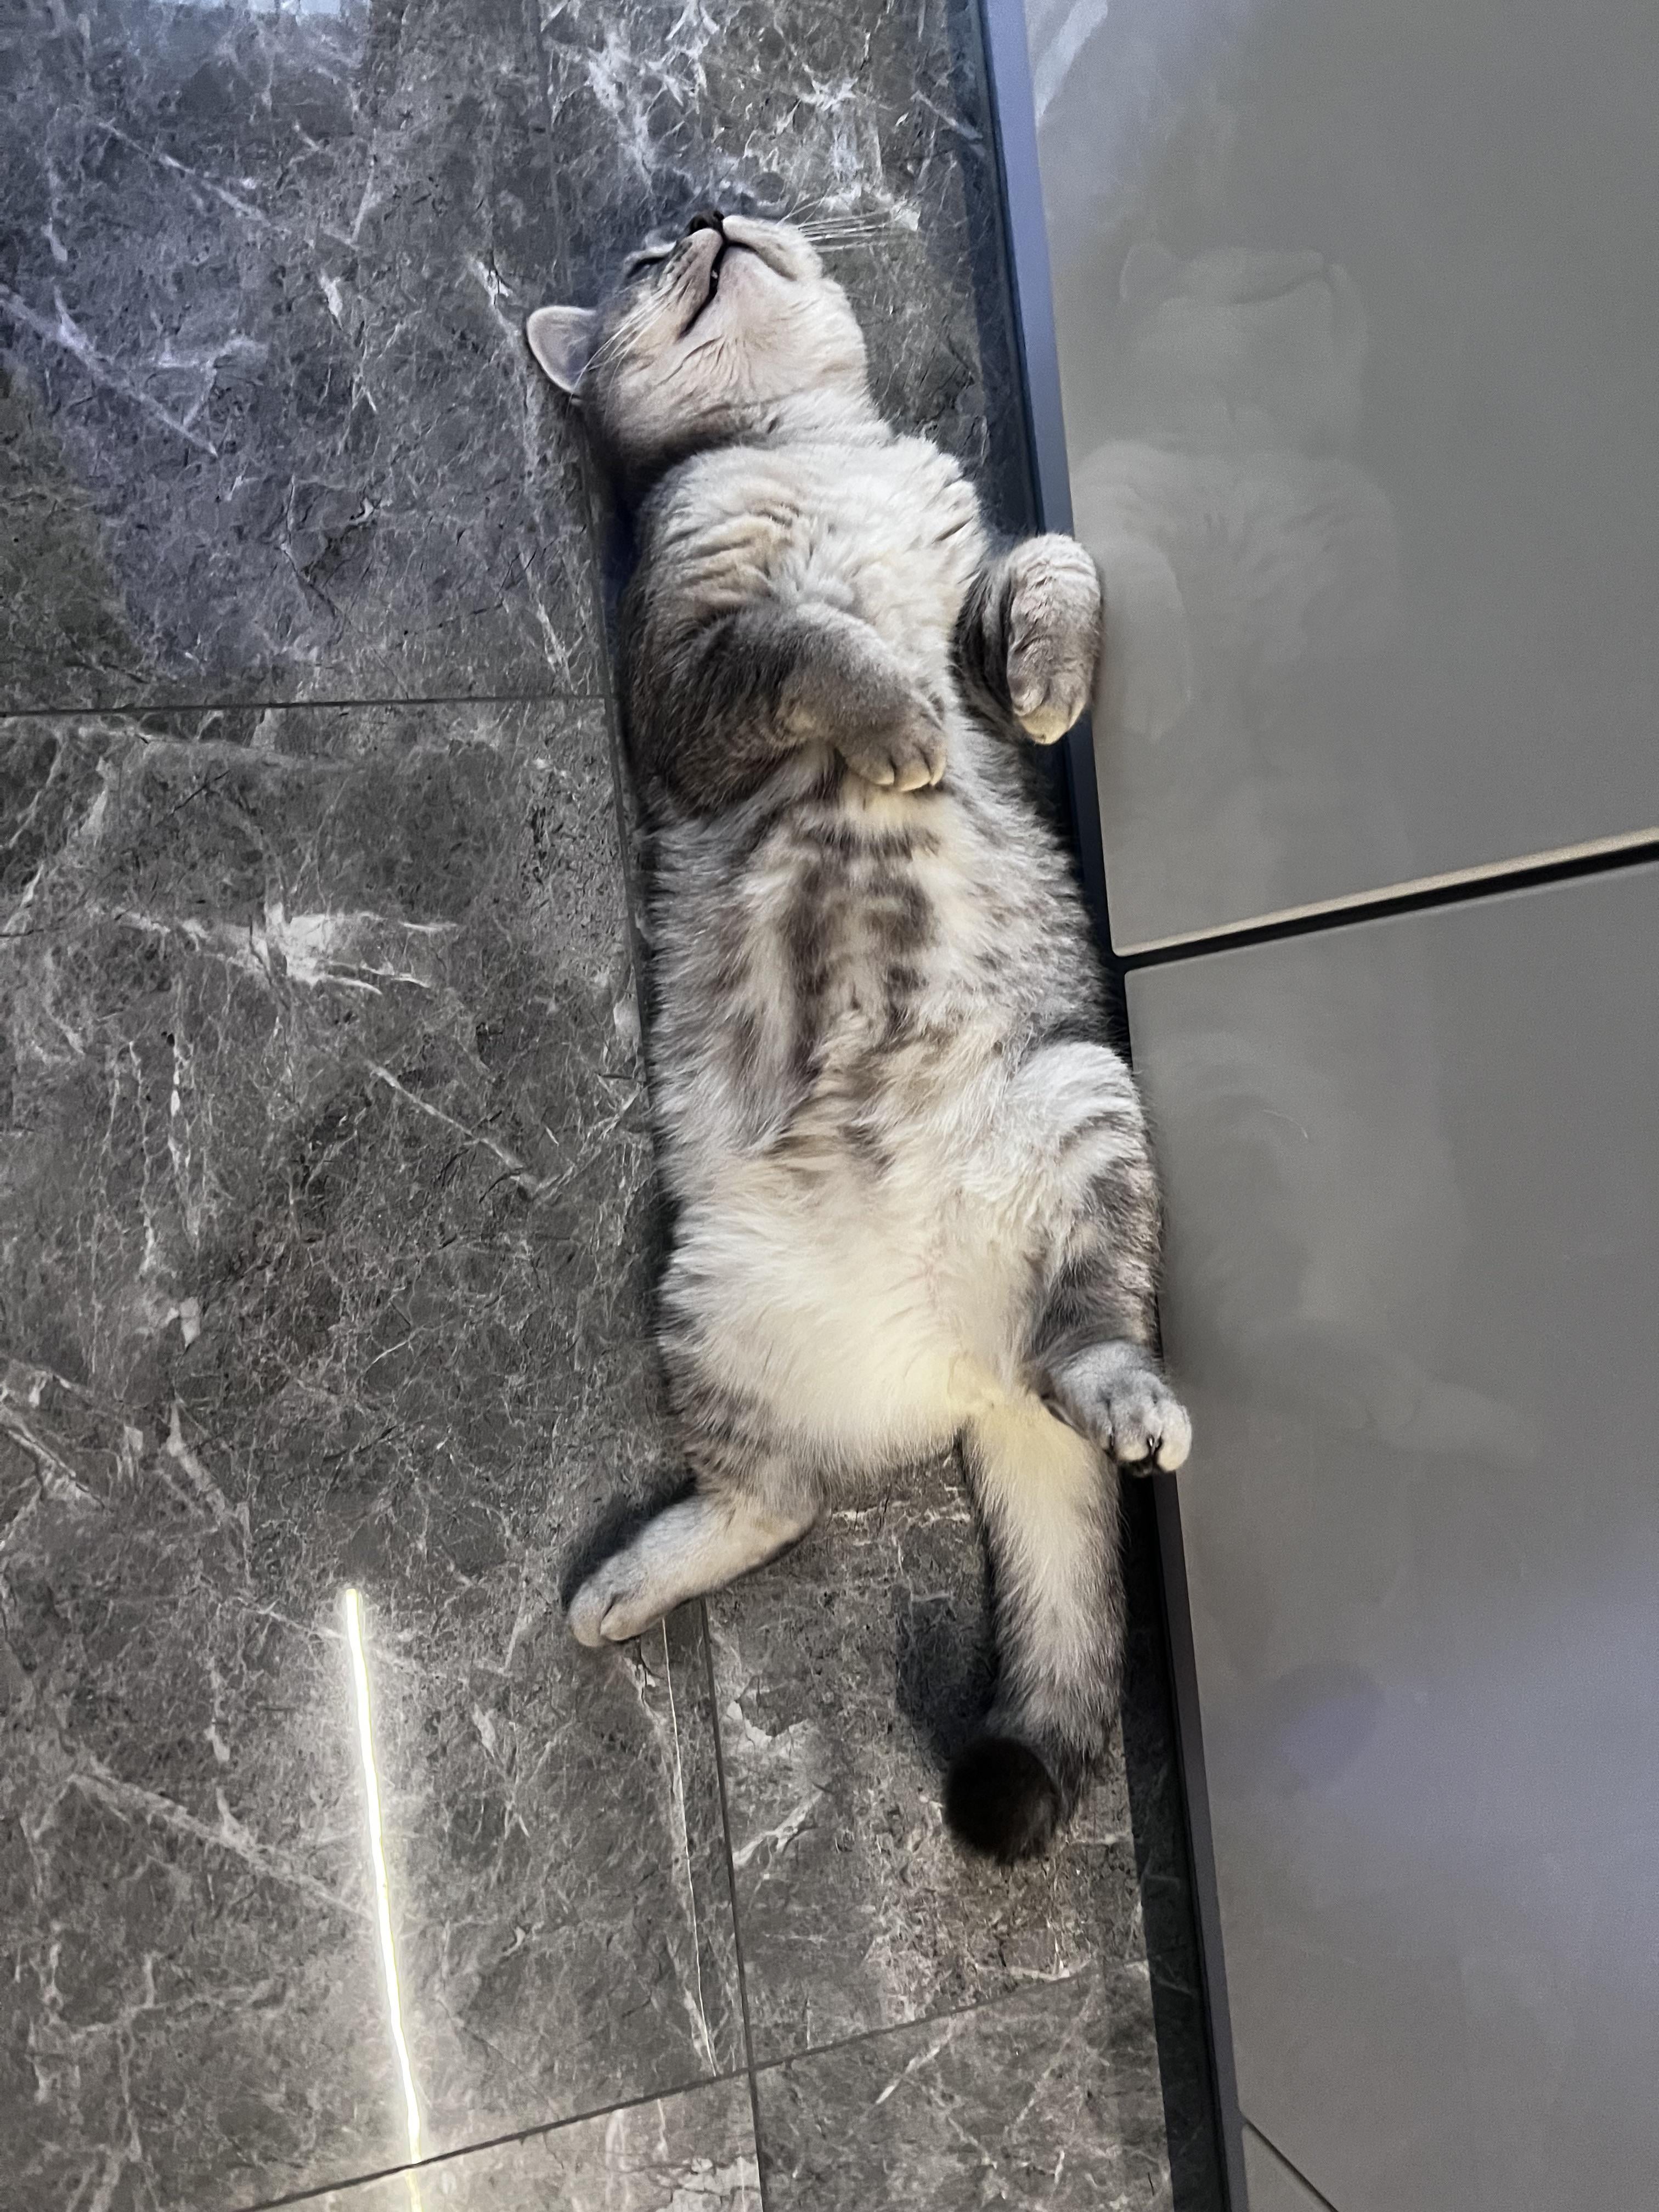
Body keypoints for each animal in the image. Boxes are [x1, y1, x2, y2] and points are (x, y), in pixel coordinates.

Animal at [525, 208, 1190, 1862]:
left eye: (698, 220)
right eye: (645, 258)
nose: (705, 206)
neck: (806, 443)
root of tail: (965, 1366)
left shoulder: (976, 573)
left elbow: (1052, 562)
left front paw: (1043, 675)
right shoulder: (686, 670)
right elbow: (808, 638)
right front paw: (892, 717)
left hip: (1085, 1098)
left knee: (1086, 1329)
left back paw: (1124, 1393)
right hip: (715, 1297)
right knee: (777, 1504)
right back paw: (624, 1586)